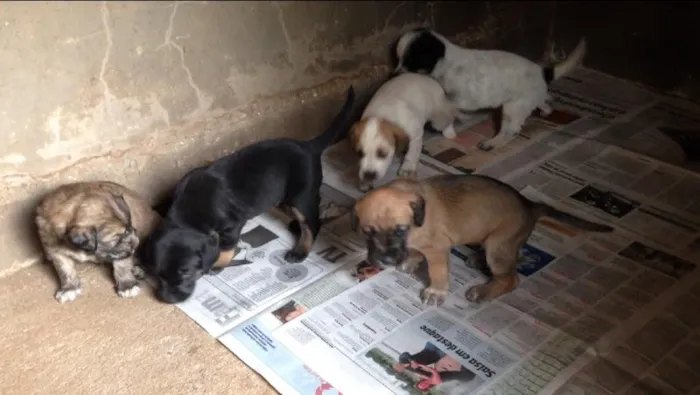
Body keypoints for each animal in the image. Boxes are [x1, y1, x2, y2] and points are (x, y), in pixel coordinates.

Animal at [146, 86, 356, 304]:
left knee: (312, 223)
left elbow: (226, 248)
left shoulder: (232, 227)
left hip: (301, 196)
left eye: (186, 272)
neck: (188, 215)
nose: (166, 299)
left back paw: (300, 251)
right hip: (282, 197)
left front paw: (218, 264)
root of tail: (309, 146)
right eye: (156, 274)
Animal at [350, 175, 612, 308]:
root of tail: (530, 206)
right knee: (517, 257)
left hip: (498, 245)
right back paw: (477, 258)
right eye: (367, 232)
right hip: (499, 243)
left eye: (400, 230)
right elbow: (414, 251)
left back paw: (484, 291)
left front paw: (436, 291)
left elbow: (438, 271)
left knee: (511, 278)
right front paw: (410, 261)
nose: (385, 260)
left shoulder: (438, 249)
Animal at [394, 28, 584, 152]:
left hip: (513, 107)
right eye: (398, 59)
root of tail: (542, 71)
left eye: (410, 61)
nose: (394, 74)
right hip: (531, 98)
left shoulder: (462, 97)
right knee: (544, 102)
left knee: (510, 131)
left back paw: (492, 143)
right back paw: (546, 110)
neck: (446, 63)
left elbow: (450, 107)